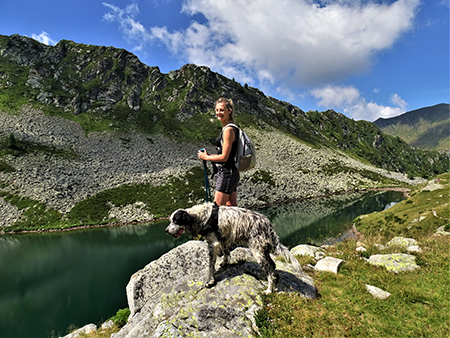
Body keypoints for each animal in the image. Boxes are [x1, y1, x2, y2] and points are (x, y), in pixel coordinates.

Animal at [163, 203, 300, 294]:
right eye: (170, 220)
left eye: (176, 220)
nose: (166, 230)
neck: (200, 217)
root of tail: (268, 224)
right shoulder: (223, 240)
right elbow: (226, 252)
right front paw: (224, 262)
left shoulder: (213, 244)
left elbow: (210, 266)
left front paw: (210, 281)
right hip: (263, 250)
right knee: (272, 265)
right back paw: (276, 279)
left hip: (257, 252)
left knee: (269, 272)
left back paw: (269, 289)